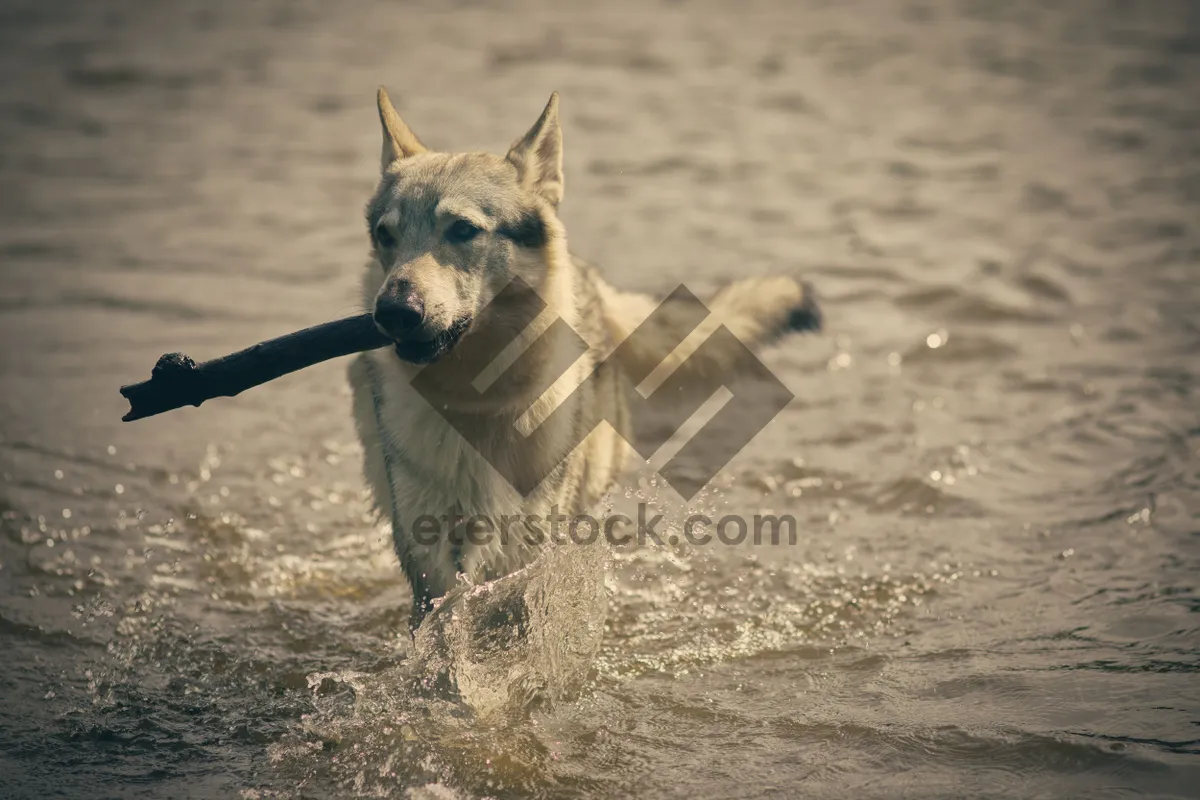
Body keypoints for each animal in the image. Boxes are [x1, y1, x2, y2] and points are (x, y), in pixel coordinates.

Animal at [348, 87, 816, 638]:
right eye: (386, 236)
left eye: (462, 231)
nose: (393, 311)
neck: (474, 405)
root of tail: (589, 275)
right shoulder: (429, 549)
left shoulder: (520, 544)